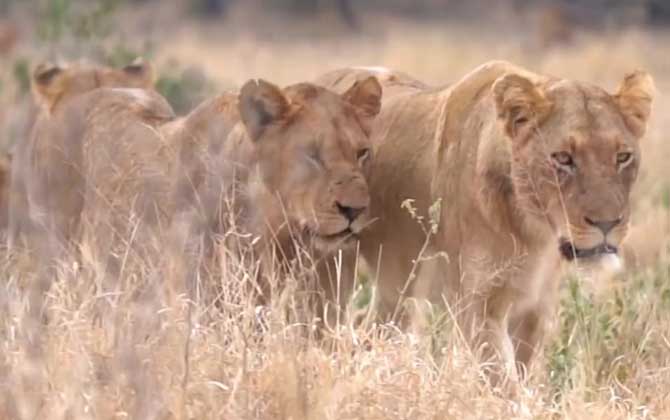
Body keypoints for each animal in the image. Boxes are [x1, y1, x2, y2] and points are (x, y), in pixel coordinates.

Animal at [318, 61, 656, 380]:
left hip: (397, 286)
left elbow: (523, 370)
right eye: (563, 158)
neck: (534, 232)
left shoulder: (535, 308)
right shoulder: (479, 307)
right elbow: (502, 381)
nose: (607, 224)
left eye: (622, 157)